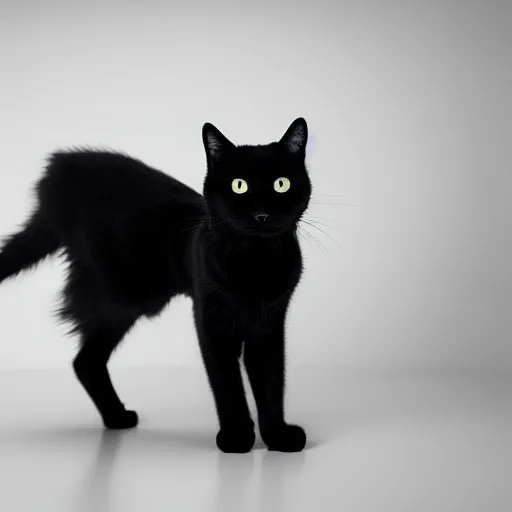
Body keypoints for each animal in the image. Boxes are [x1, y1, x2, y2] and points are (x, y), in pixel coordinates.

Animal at [0, 119, 312, 452]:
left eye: (281, 184)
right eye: (238, 185)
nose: (261, 214)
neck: (255, 263)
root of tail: (58, 171)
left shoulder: (269, 322)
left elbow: (271, 381)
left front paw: (277, 437)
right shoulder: (211, 321)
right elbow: (226, 382)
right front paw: (237, 438)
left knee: (86, 361)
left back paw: (116, 418)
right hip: (122, 299)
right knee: (86, 359)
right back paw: (118, 417)